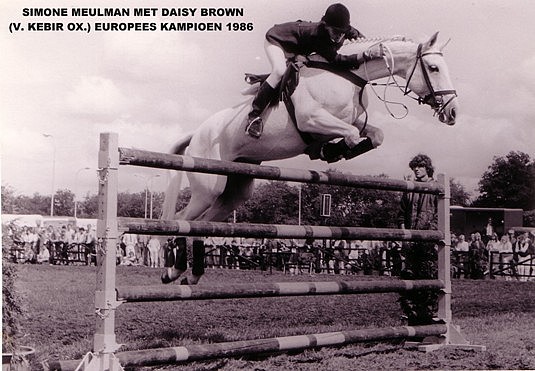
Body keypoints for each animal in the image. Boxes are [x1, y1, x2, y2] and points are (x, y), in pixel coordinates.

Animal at [161, 32, 458, 284]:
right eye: (434, 68)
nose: (452, 112)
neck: (348, 77)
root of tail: (197, 134)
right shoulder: (311, 118)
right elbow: (350, 134)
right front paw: (333, 150)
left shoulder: (355, 121)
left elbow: (375, 135)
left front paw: (332, 151)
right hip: (209, 187)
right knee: (183, 218)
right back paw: (172, 270)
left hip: (234, 189)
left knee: (202, 223)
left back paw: (192, 274)